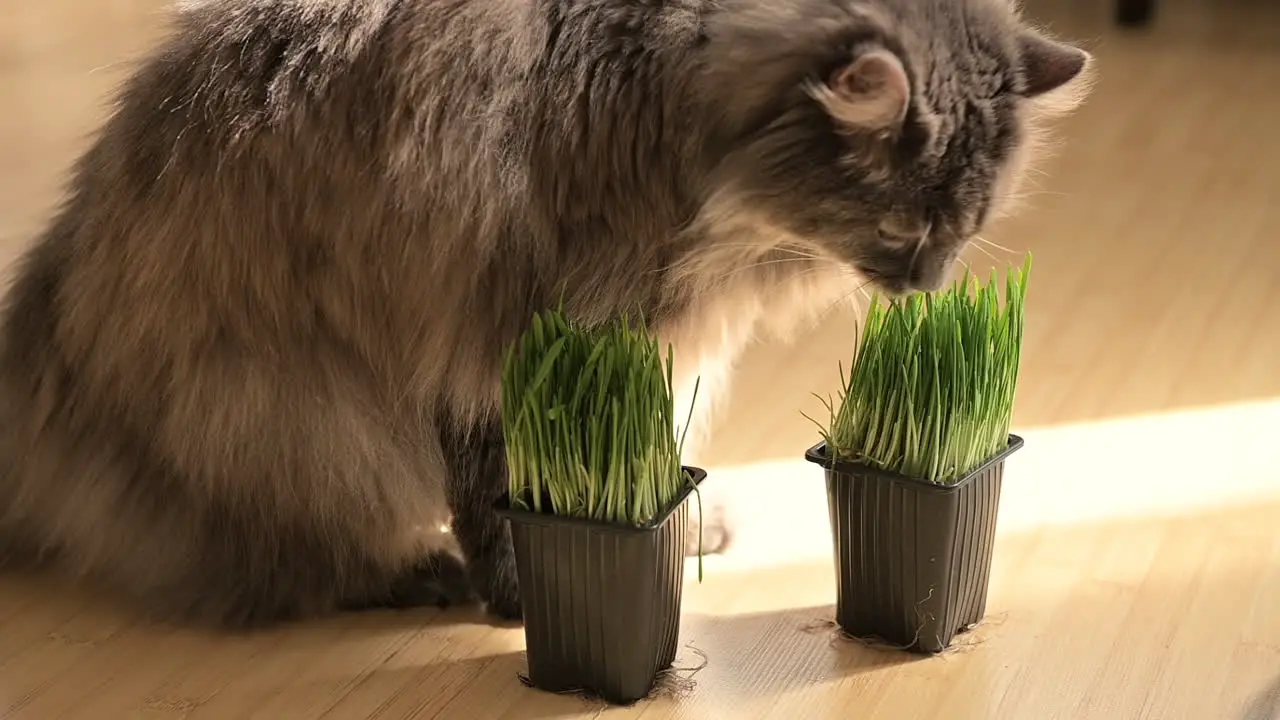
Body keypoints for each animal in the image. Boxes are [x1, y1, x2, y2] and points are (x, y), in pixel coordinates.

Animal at [0, 0, 1090, 627]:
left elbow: (639, 446)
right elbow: (499, 493)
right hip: (284, 414)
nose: (928, 285)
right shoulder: (492, 335)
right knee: (291, 559)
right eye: (905, 223)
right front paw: (518, 599)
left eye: (969, 224)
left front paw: (674, 520)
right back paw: (419, 572)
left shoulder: (644, 345)